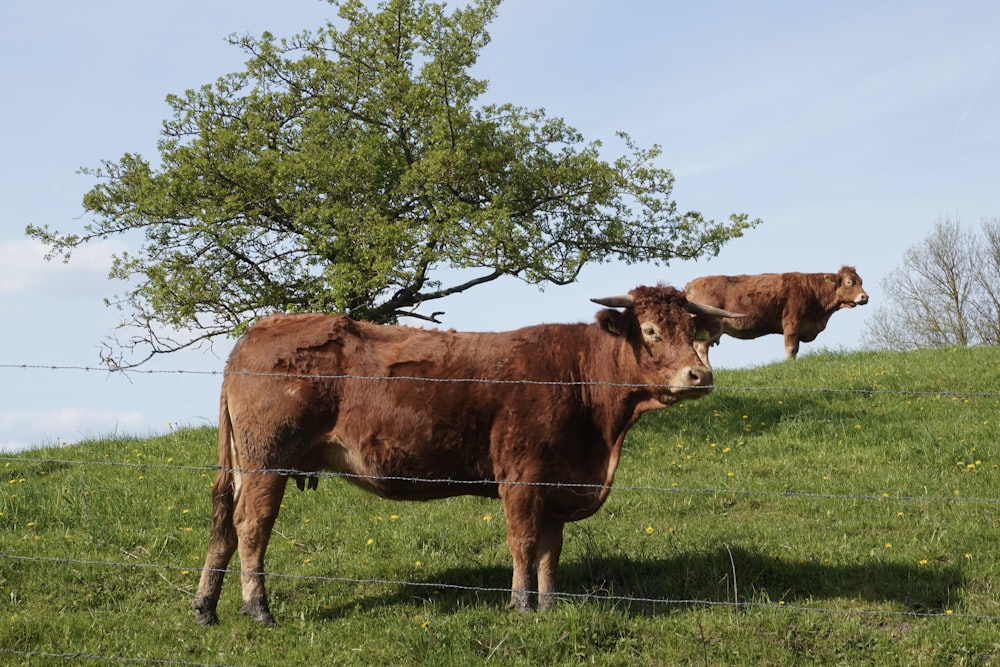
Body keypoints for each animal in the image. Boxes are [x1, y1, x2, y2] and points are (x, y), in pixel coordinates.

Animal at [191, 286, 740, 628]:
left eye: (691, 328)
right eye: (649, 330)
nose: (699, 375)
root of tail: (261, 328)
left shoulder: (556, 482)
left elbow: (550, 551)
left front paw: (549, 605)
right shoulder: (521, 477)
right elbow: (523, 543)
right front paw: (521, 607)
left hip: (243, 464)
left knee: (223, 525)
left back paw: (205, 607)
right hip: (267, 461)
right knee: (252, 526)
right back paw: (258, 609)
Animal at [688, 264, 868, 362]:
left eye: (861, 281)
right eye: (849, 282)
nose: (865, 297)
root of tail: (694, 283)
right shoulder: (791, 324)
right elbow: (791, 348)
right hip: (709, 326)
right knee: (700, 347)